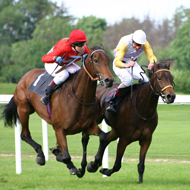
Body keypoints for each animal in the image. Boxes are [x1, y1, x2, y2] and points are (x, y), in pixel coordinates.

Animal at [0, 45, 113, 177]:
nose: (109, 80)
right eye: (96, 60)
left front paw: (93, 165)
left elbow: (103, 137)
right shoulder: (59, 129)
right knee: (24, 135)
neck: (77, 97)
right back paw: (40, 156)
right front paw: (71, 165)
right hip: (23, 109)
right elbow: (66, 156)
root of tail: (24, 77)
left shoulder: (88, 126)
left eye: (108, 60)